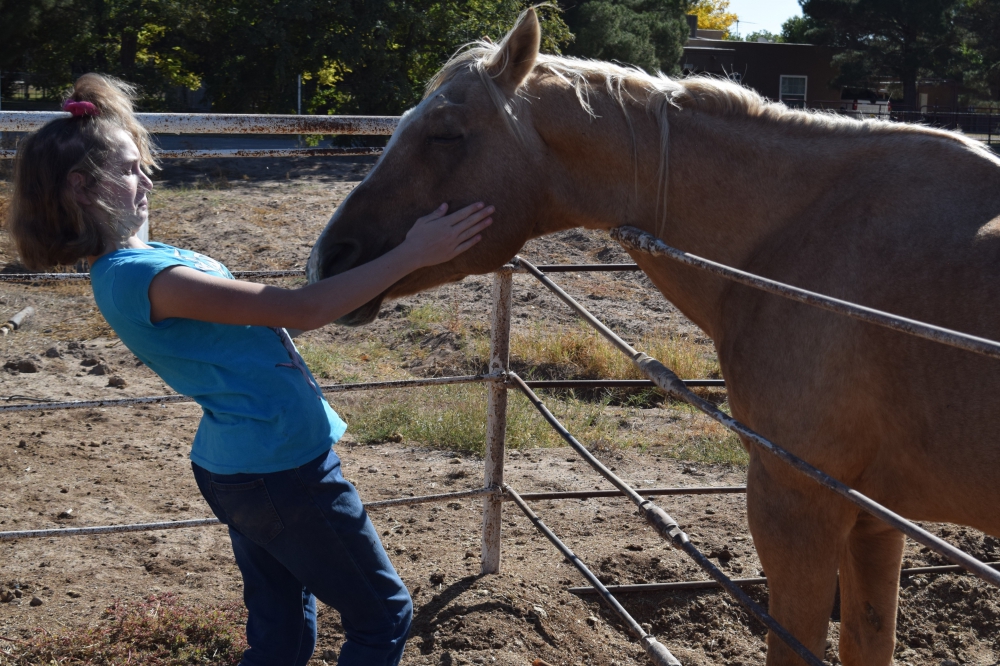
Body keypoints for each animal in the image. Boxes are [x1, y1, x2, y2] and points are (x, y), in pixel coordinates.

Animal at [308, 7, 1000, 660]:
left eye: (446, 132)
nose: (330, 258)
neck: (797, 237)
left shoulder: (798, 506)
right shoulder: (877, 521)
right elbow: (867, 641)